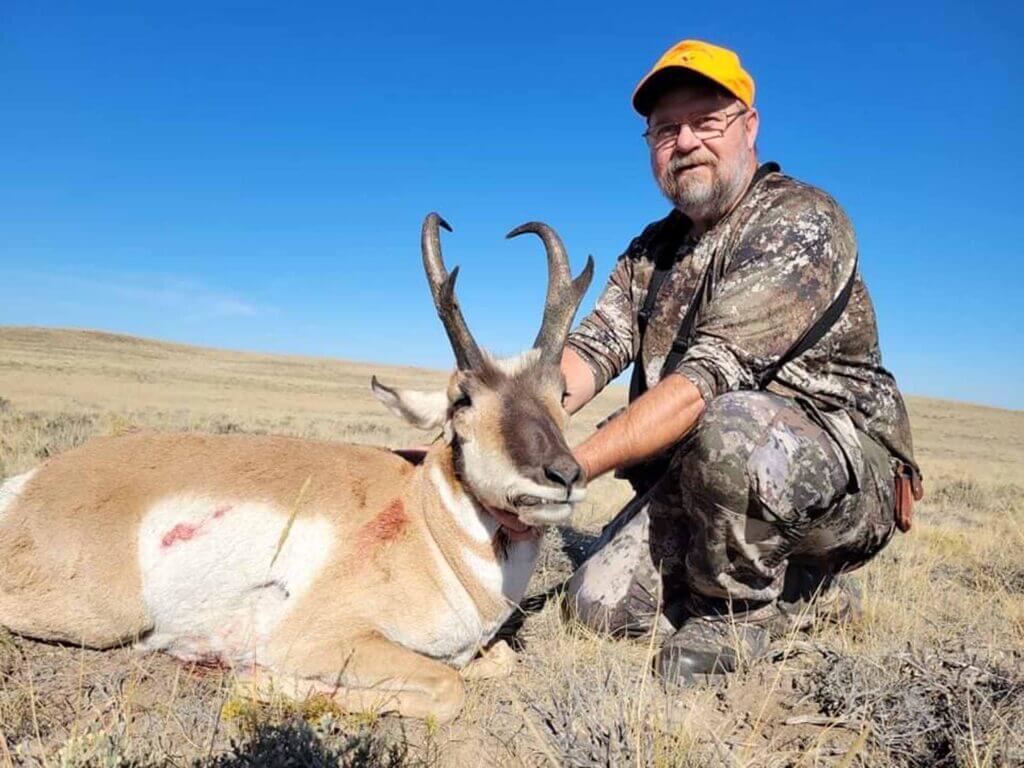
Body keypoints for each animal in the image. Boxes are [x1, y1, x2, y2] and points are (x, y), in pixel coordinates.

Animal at [0, 214, 593, 722]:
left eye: (561, 392)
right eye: (463, 399)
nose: (563, 476)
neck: (427, 519)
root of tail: (28, 486)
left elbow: (494, 661)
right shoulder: (323, 638)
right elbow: (449, 687)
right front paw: (254, 680)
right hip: (103, 616)